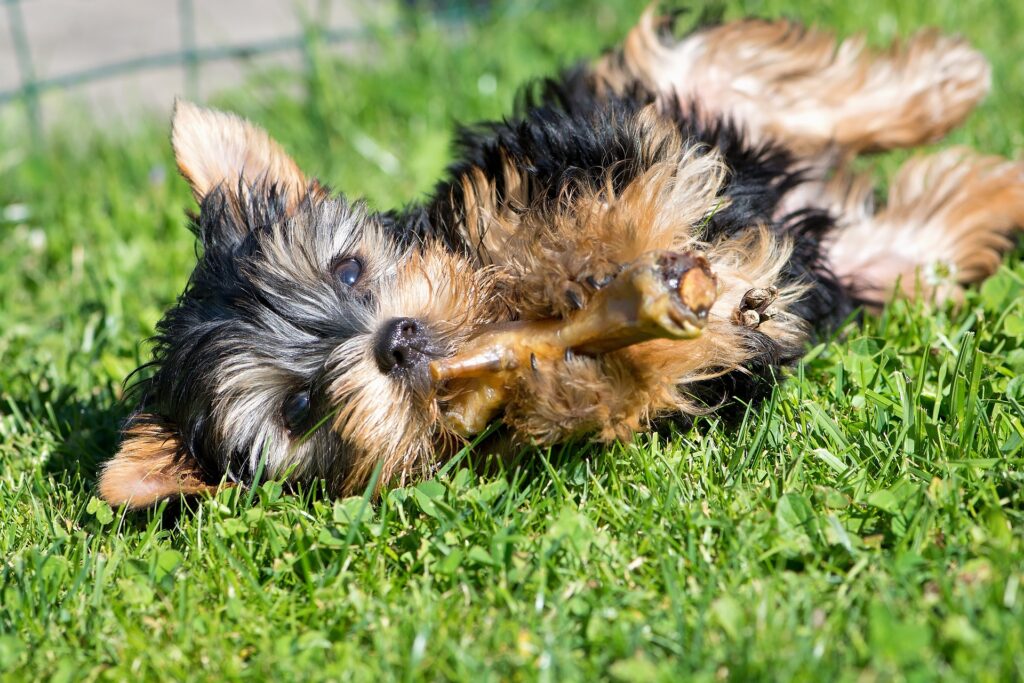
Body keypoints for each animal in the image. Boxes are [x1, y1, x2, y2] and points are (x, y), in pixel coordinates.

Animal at [97, 5, 1024, 507]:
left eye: (348, 269)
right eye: (299, 408)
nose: (395, 340)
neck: (491, 316)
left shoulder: (544, 156)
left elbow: (555, 213)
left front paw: (577, 261)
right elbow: (632, 388)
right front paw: (573, 372)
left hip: (660, 92)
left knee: (762, 79)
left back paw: (947, 79)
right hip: (864, 261)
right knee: (916, 237)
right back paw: (994, 185)